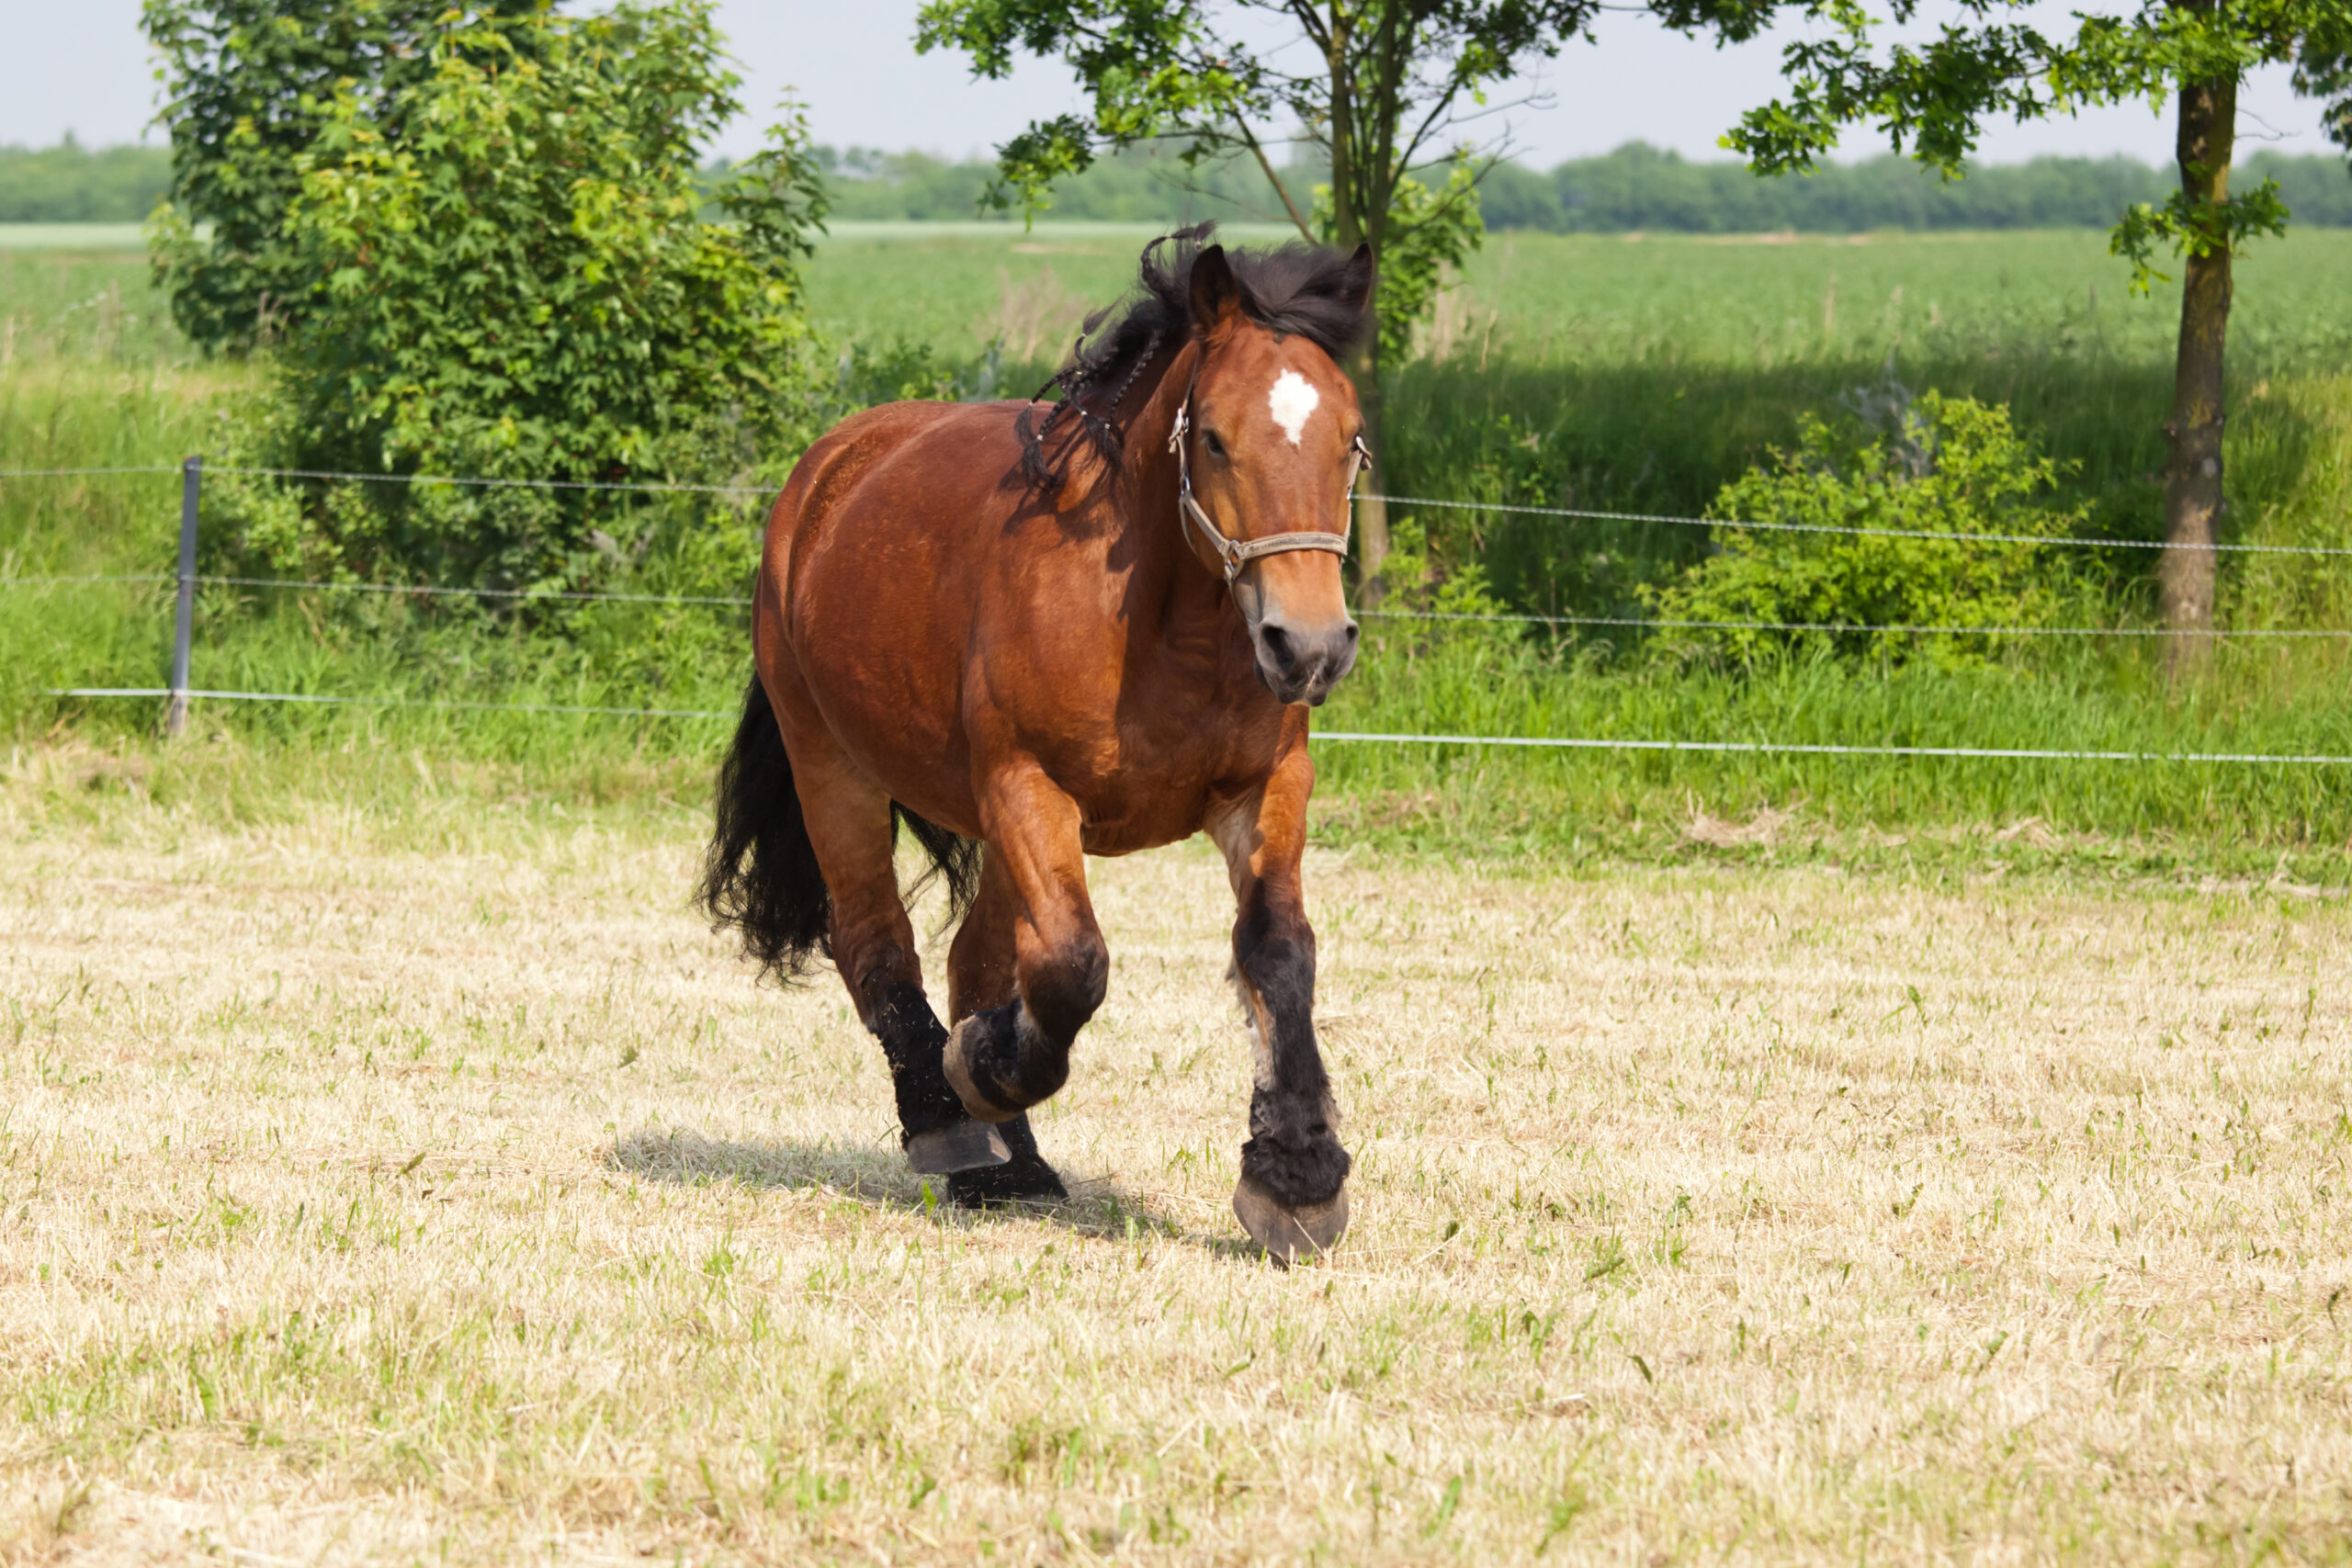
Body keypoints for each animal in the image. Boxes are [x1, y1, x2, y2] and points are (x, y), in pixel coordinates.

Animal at [686, 223, 1374, 1259]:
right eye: (1215, 438)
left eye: (1351, 442)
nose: (1309, 646)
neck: (1160, 626)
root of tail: (824, 472)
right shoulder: (1028, 786)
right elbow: (1072, 967)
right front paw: (983, 1068)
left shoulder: (1263, 789)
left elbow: (1277, 952)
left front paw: (1295, 1178)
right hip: (834, 770)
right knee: (878, 945)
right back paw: (948, 1122)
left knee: (973, 961)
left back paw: (1014, 1161)